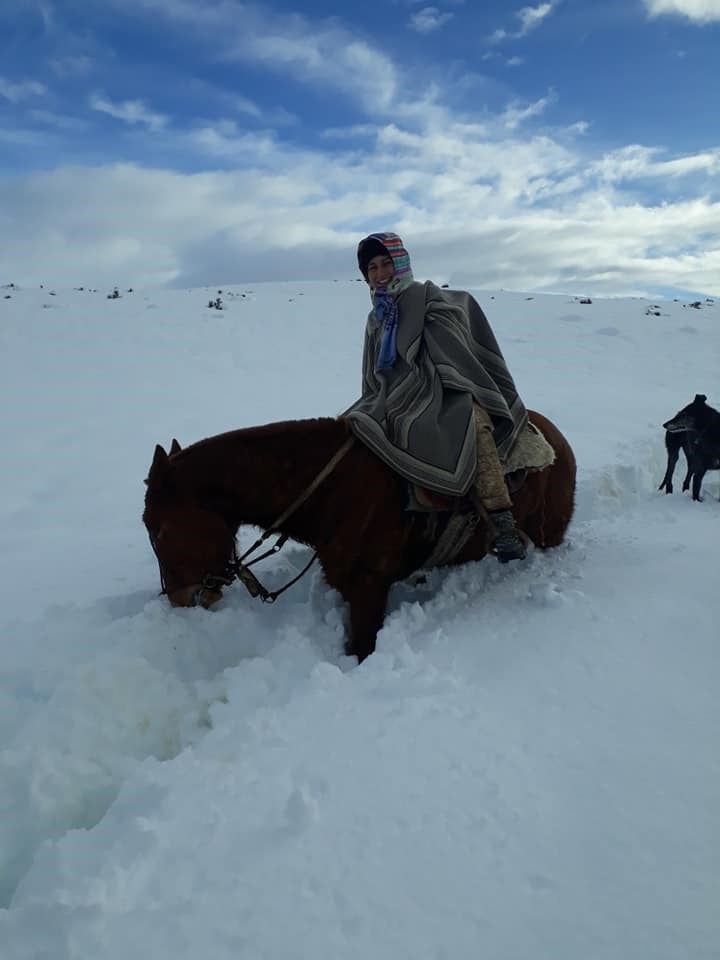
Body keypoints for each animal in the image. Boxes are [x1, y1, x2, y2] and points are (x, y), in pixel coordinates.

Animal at [143, 416, 576, 664]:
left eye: (157, 527)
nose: (179, 599)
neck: (332, 489)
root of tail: (557, 438)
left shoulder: (369, 590)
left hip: (548, 534)